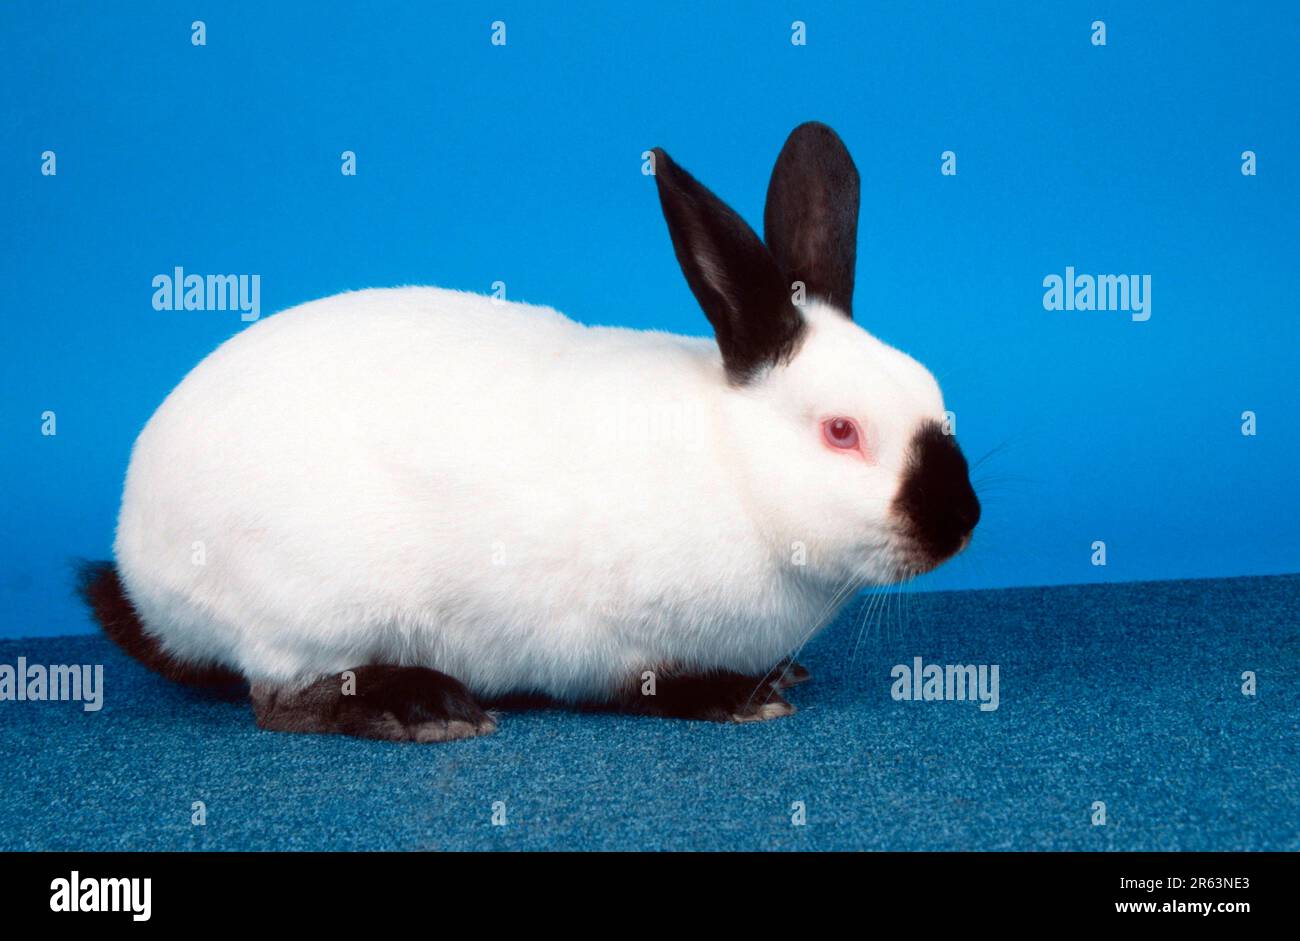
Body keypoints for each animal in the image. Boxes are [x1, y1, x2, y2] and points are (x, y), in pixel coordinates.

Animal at [81, 122, 980, 743]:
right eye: (841, 431)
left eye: (932, 392)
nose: (962, 520)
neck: (737, 470)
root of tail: (137, 549)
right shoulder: (606, 640)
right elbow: (643, 685)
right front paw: (737, 697)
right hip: (303, 608)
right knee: (279, 698)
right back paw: (426, 706)